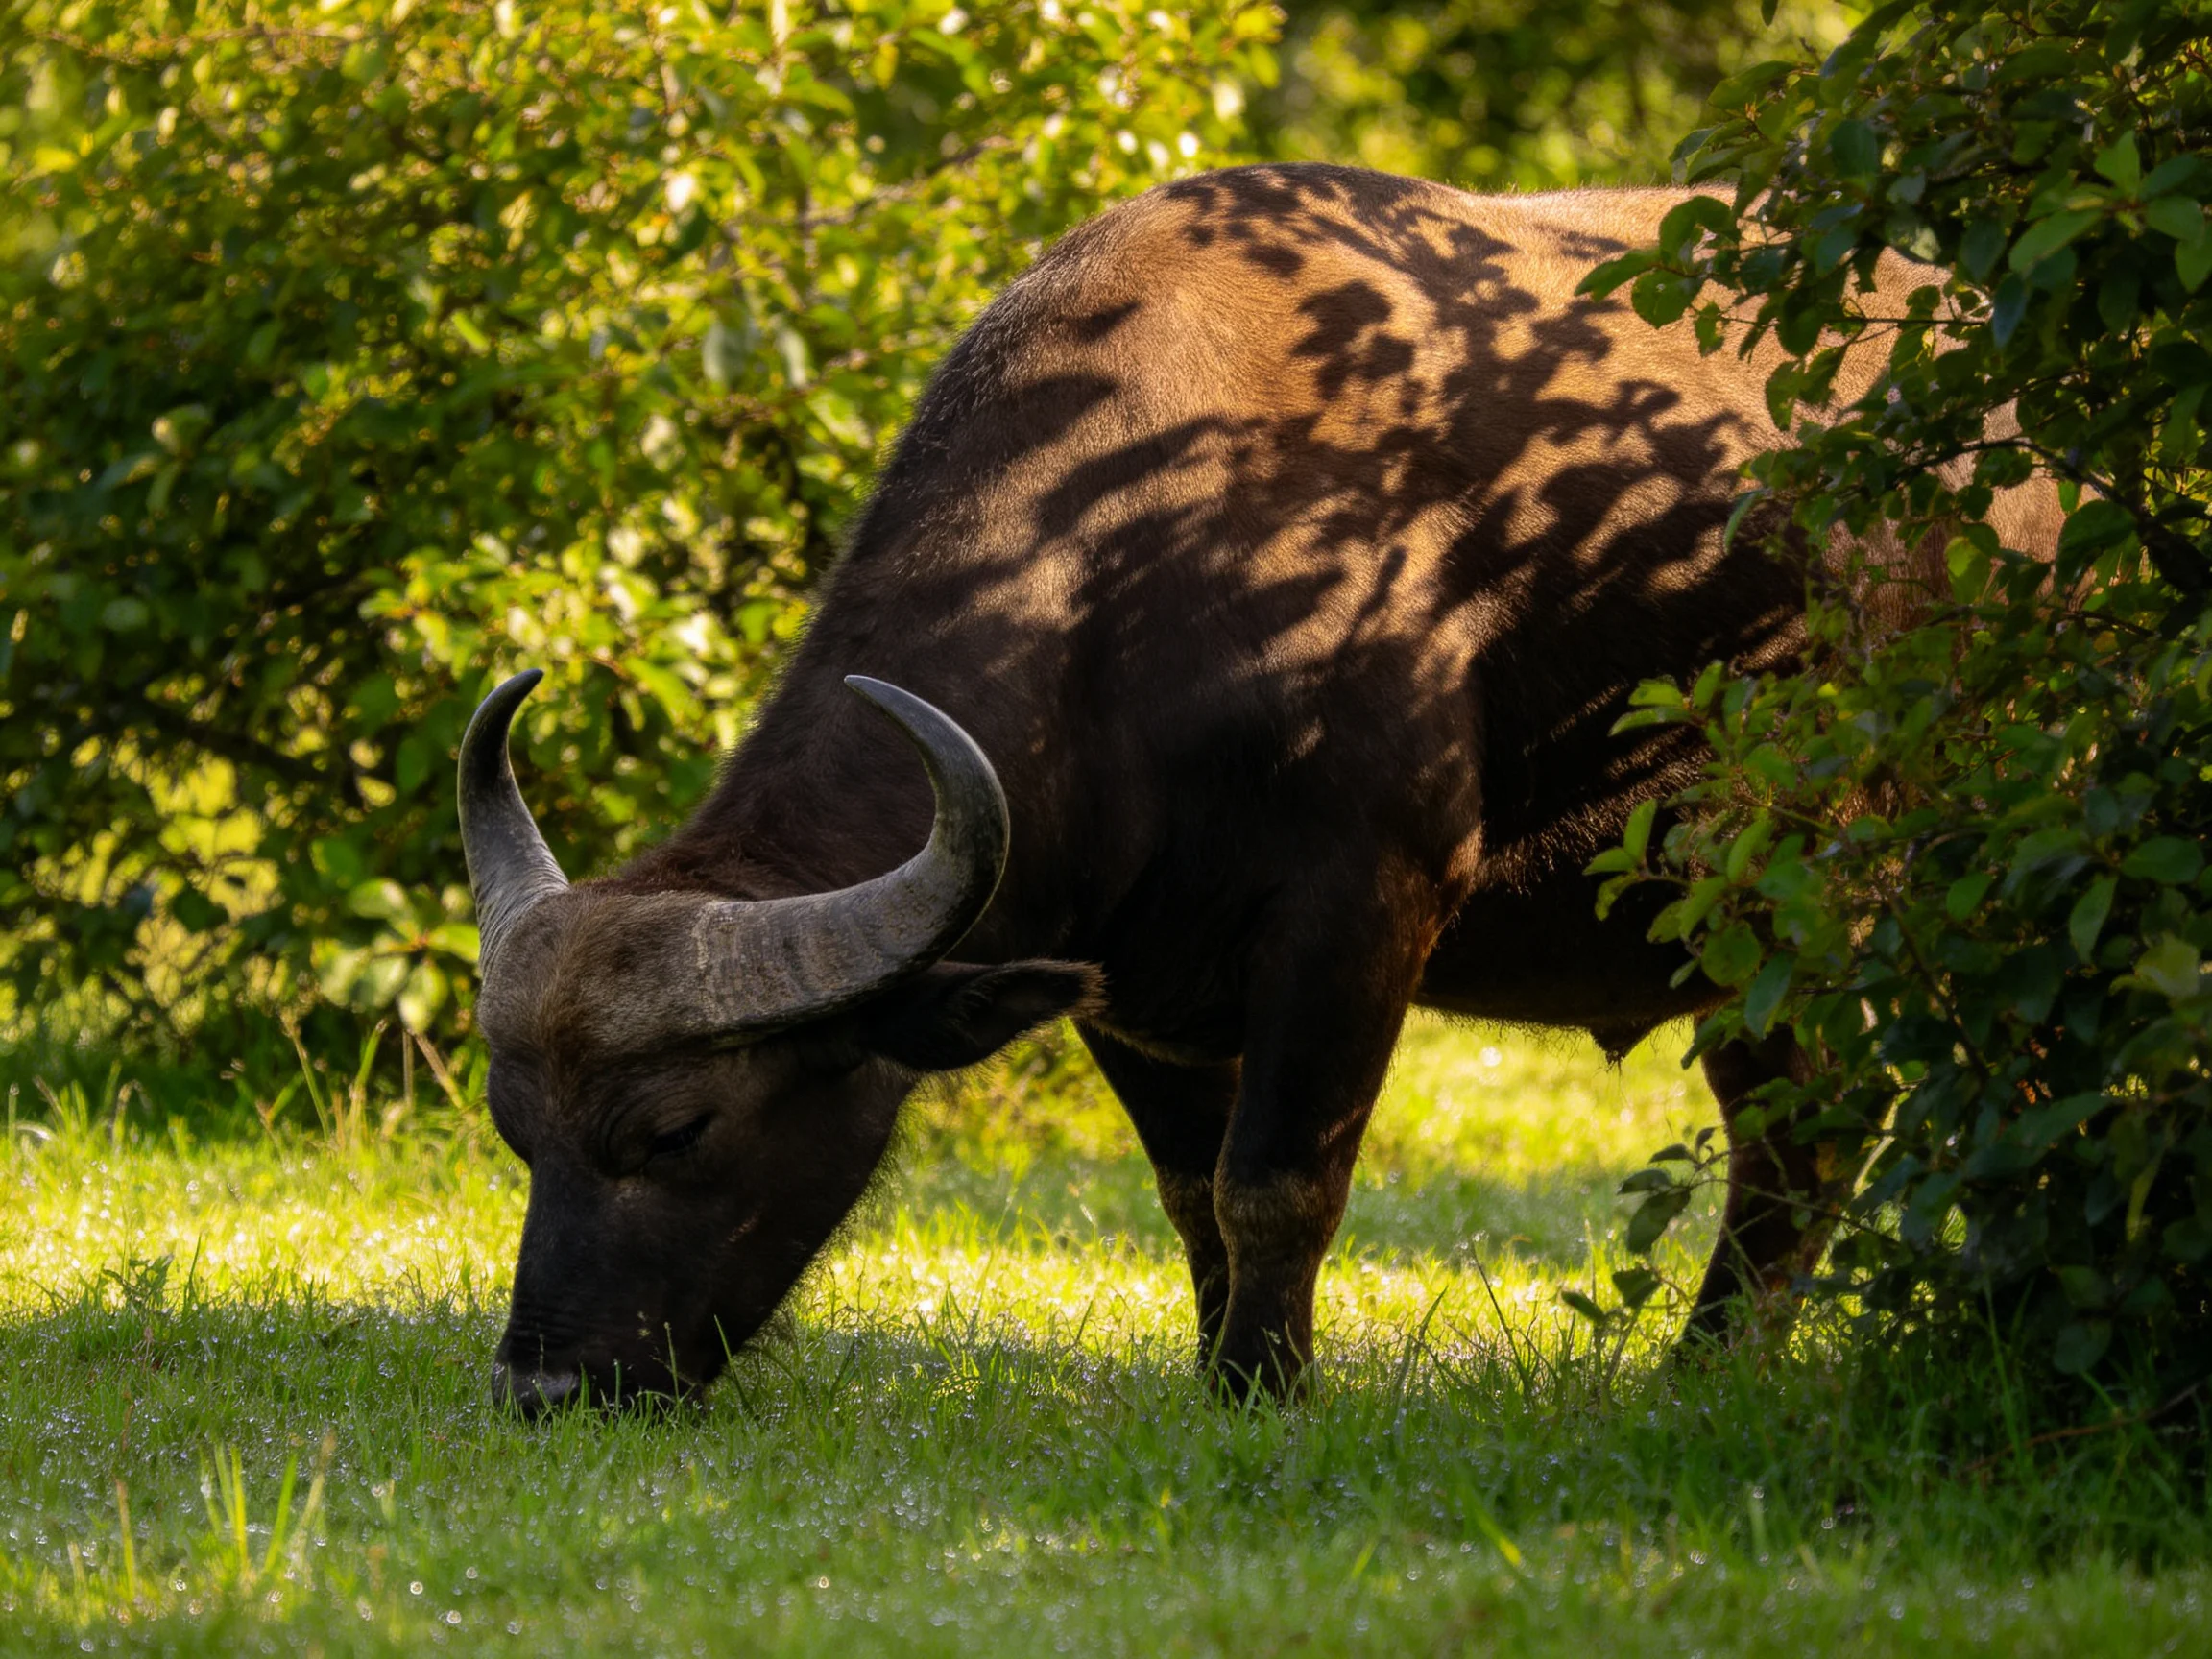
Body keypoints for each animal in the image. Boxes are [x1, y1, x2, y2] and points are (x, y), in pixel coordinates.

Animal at [460, 164, 2051, 1410]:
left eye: (676, 1131)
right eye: (515, 1133)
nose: (546, 1385)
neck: (1153, 541)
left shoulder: (1365, 903)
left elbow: (1277, 1179)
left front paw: (1270, 1390)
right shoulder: (1125, 972)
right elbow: (1193, 1193)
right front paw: (1224, 1371)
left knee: (1834, 1113)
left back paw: (1729, 1364)